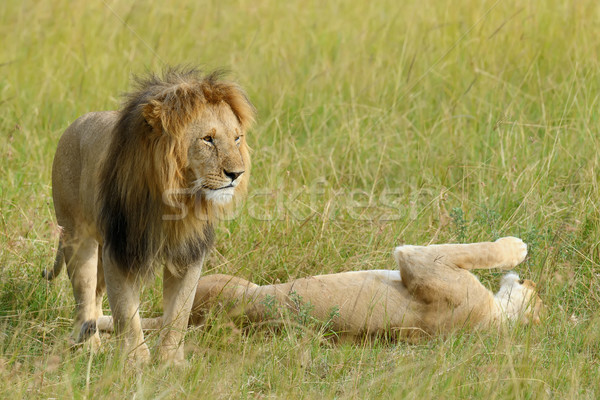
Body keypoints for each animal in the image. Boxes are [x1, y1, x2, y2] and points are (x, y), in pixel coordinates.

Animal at [47, 66, 253, 362]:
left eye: (237, 138)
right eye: (208, 139)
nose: (237, 174)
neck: (177, 198)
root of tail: (75, 123)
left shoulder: (188, 253)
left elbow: (179, 313)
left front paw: (170, 361)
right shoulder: (120, 248)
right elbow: (126, 312)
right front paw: (136, 361)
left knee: (96, 294)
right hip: (77, 235)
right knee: (84, 291)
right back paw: (90, 346)